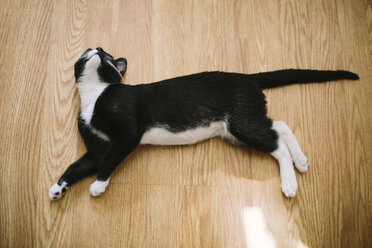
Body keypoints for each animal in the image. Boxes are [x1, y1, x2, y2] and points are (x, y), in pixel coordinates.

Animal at [48, 48, 358, 200]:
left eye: (108, 56)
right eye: (89, 51)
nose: (98, 49)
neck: (95, 93)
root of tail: (246, 77)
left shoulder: (127, 134)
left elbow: (108, 161)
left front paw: (98, 186)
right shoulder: (97, 147)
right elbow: (78, 166)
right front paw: (57, 188)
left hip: (240, 123)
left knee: (277, 144)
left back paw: (290, 182)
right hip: (240, 124)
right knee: (278, 125)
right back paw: (301, 161)